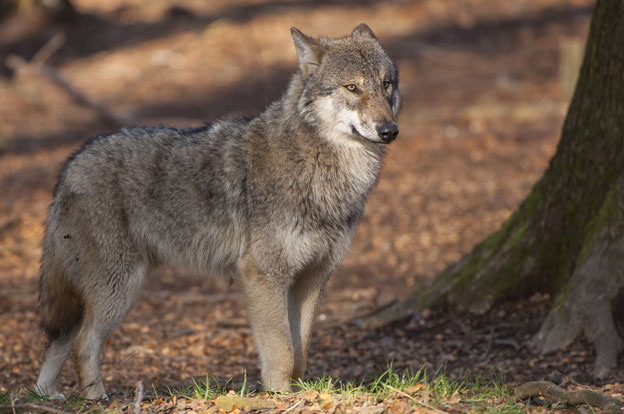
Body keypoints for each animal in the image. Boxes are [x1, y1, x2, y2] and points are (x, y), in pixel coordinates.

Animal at [36, 24, 402, 400]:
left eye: (386, 84)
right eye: (352, 87)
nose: (389, 131)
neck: (320, 166)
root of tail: (71, 164)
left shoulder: (313, 276)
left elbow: (300, 350)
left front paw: (299, 391)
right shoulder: (262, 275)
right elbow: (282, 352)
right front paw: (280, 396)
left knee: (57, 341)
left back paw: (47, 395)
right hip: (120, 286)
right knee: (82, 343)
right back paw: (97, 398)